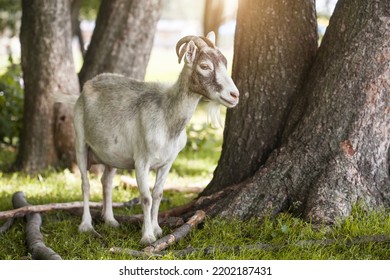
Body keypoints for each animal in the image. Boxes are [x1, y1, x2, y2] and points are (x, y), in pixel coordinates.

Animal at [61, 31, 239, 244]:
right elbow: (145, 197)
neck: (167, 118)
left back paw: (111, 220)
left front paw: (157, 230)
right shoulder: (142, 161)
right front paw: (147, 237)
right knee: (85, 184)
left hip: (111, 156)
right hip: (80, 141)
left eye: (225, 63)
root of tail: (88, 85)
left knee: (106, 182)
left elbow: (158, 194)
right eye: (205, 66)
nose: (234, 95)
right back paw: (86, 225)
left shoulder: (167, 163)